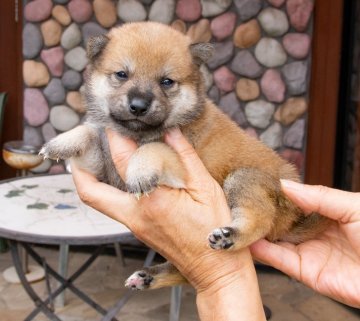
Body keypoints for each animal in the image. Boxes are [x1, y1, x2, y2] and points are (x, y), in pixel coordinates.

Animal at [40, 21, 330, 288]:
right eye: (121, 74)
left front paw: (140, 172)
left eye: (166, 82)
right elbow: (91, 132)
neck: (135, 133)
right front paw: (60, 143)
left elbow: (152, 148)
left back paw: (230, 235)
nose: (138, 106)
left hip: (245, 179)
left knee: (259, 220)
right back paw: (149, 277)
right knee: (185, 271)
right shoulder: (105, 165)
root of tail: (296, 218)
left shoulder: (181, 166)